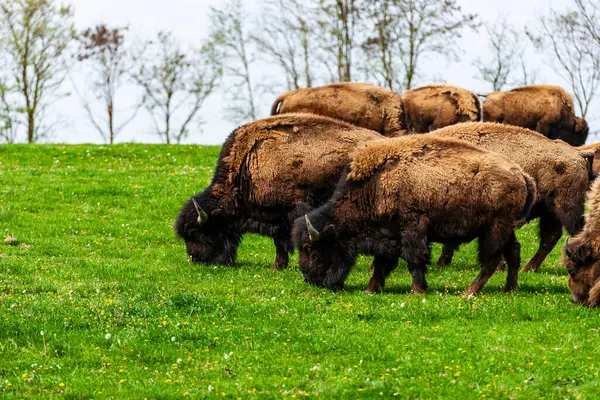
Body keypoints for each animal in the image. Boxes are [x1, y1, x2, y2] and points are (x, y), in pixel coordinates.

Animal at [173, 112, 382, 268]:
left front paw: (278, 266)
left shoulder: (286, 213)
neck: (248, 164)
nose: (196, 259)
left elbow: (281, 241)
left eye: (198, 233)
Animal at [292, 136, 536, 296]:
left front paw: (416, 291)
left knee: (491, 259)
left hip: (494, 228)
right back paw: (508, 289)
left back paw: (469, 292)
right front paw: (370, 289)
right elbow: (382, 263)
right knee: (513, 252)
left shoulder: (412, 229)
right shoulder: (388, 235)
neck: (377, 185)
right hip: (507, 228)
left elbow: (414, 259)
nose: (309, 279)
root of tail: (521, 174)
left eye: (309, 248)